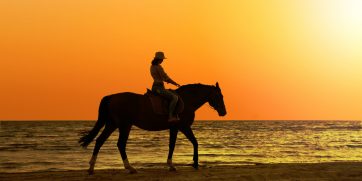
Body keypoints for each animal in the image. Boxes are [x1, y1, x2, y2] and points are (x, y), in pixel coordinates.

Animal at [79, 82, 226, 174]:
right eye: (219, 96)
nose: (224, 112)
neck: (187, 100)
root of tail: (112, 97)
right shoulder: (183, 127)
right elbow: (195, 142)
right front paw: (194, 163)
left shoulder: (174, 128)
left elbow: (172, 145)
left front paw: (171, 165)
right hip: (124, 125)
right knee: (120, 144)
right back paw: (130, 168)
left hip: (113, 124)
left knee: (100, 141)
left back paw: (91, 168)